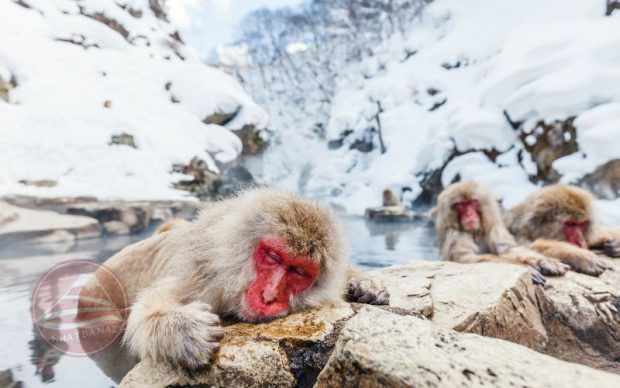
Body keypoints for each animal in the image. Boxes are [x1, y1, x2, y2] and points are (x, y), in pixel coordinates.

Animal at [434, 180, 568, 280]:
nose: (469, 213)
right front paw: (526, 268)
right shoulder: (454, 234)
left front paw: (544, 261)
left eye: (473, 202)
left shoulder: (493, 228)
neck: (474, 232)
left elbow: (508, 249)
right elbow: (465, 258)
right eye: (461, 205)